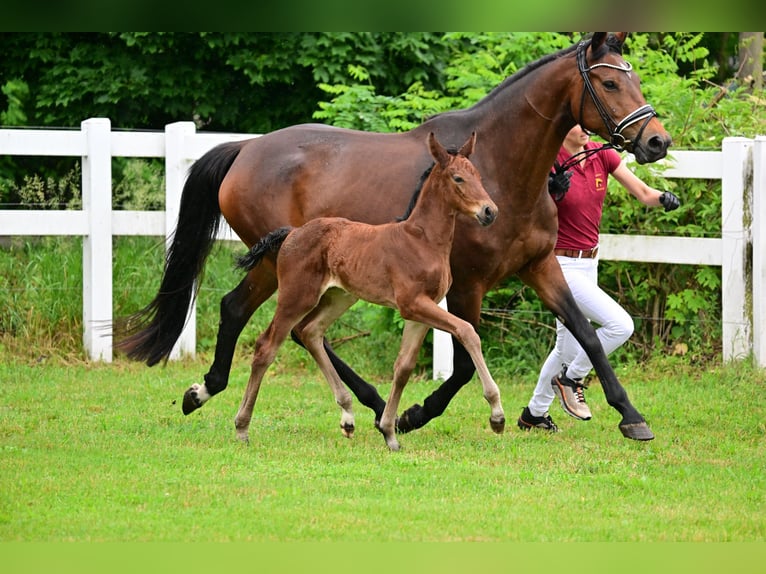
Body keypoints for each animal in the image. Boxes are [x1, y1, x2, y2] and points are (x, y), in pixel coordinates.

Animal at [237, 133, 508, 452]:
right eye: (458, 178)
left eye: (478, 176)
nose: (490, 211)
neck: (423, 241)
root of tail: (292, 232)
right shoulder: (412, 304)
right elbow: (467, 331)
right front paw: (497, 415)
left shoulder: (420, 311)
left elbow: (403, 367)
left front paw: (390, 432)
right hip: (297, 296)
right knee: (267, 346)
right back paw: (242, 427)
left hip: (339, 297)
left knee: (310, 332)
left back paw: (347, 415)